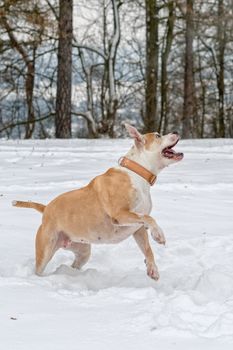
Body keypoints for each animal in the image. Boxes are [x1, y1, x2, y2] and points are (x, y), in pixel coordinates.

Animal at [12, 124, 184, 280]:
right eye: (157, 135)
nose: (176, 131)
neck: (137, 173)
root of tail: (46, 208)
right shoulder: (119, 214)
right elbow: (149, 218)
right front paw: (159, 234)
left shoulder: (137, 229)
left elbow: (147, 247)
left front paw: (152, 268)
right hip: (46, 248)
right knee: (39, 268)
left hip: (82, 250)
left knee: (75, 264)